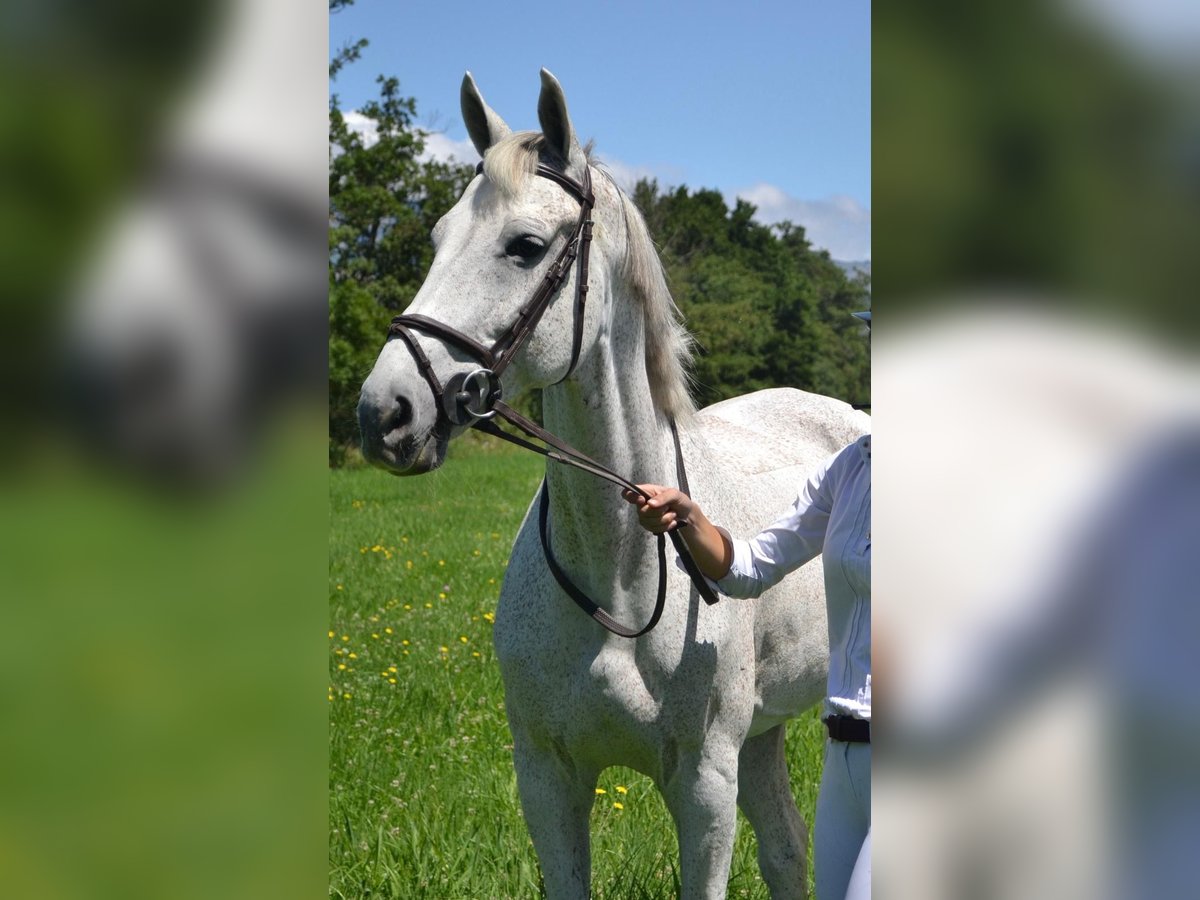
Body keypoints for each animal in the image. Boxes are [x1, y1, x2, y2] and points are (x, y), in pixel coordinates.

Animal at [358, 68, 869, 899]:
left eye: (525, 247)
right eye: (436, 237)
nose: (386, 412)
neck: (620, 566)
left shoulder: (702, 786)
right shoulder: (548, 778)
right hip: (760, 736)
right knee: (788, 848)